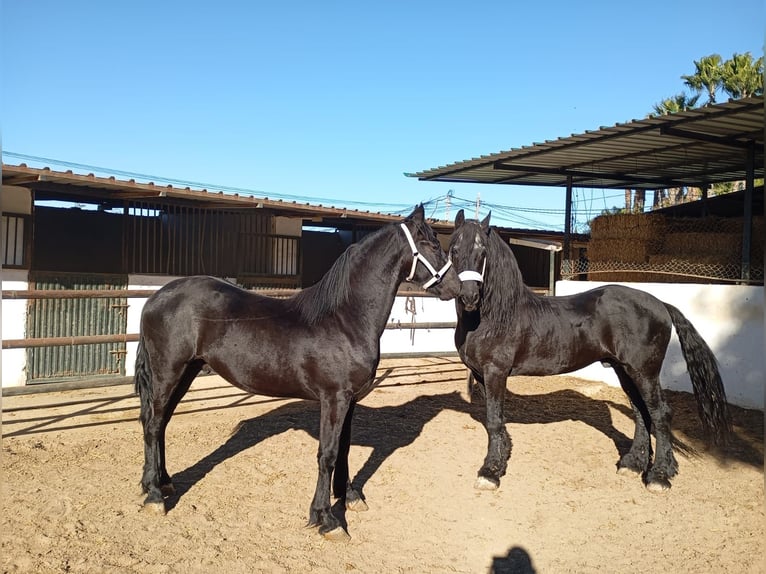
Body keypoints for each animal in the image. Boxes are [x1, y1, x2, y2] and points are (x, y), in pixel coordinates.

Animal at [134, 204, 460, 540]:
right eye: (432, 244)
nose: (460, 288)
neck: (345, 319)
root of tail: (155, 297)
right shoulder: (334, 399)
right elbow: (327, 454)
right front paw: (327, 519)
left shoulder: (350, 401)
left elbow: (344, 449)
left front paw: (349, 496)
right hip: (167, 372)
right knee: (153, 424)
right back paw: (155, 496)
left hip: (186, 372)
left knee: (161, 422)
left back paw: (162, 482)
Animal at [448, 209, 731, 493]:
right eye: (454, 250)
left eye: (482, 251)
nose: (469, 296)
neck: (492, 317)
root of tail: (660, 303)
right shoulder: (482, 375)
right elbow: (494, 421)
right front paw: (500, 458)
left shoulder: (496, 372)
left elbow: (494, 420)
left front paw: (490, 472)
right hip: (624, 370)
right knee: (641, 412)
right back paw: (633, 464)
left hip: (644, 372)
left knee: (660, 413)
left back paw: (659, 475)